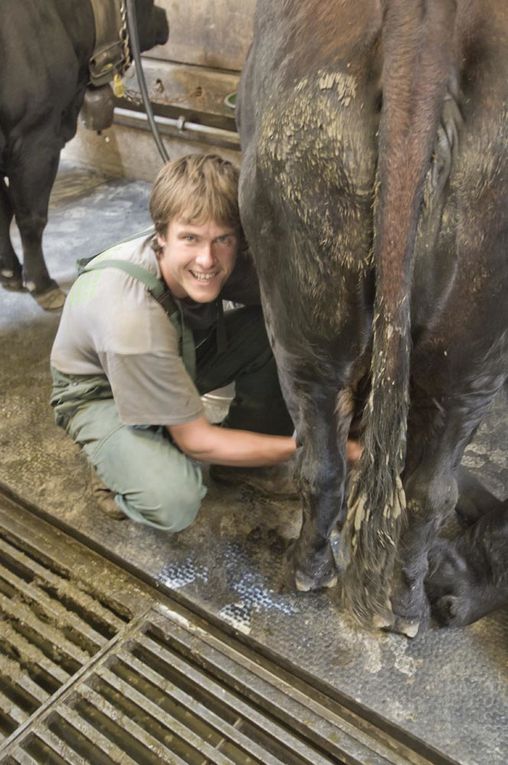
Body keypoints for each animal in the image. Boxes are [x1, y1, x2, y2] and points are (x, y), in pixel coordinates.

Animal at [0, 0, 170, 310]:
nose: (165, 17)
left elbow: (2, 209)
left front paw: (9, 271)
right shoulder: (37, 140)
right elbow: (31, 217)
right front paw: (41, 283)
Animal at [238, 0, 508, 632]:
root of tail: (425, 22)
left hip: (304, 322)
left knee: (323, 461)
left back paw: (309, 571)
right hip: (478, 355)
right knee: (431, 489)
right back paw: (405, 605)